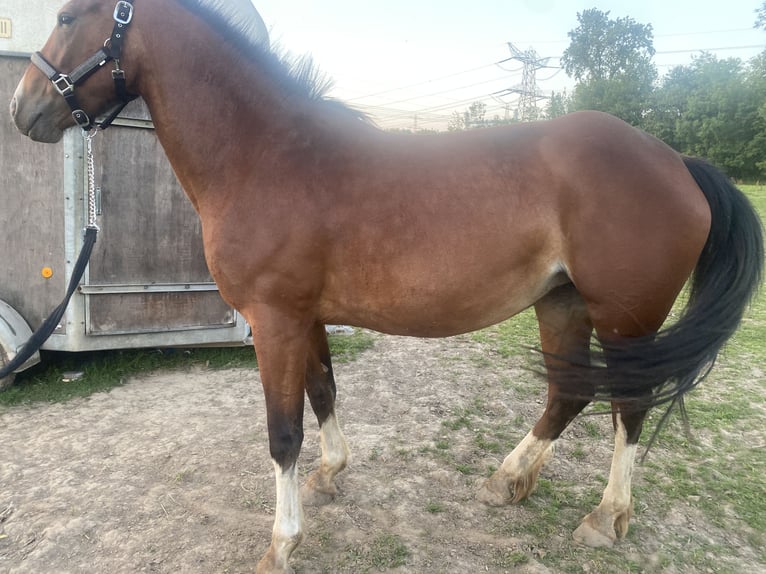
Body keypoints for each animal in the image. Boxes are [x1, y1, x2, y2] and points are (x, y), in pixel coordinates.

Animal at [9, 2, 764, 572]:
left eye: (69, 16)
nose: (24, 109)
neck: (265, 156)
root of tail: (677, 162)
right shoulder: (304, 318)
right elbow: (323, 395)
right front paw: (331, 474)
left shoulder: (275, 320)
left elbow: (282, 432)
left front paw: (282, 543)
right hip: (563, 303)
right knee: (569, 393)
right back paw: (508, 481)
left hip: (625, 317)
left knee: (628, 407)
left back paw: (606, 516)